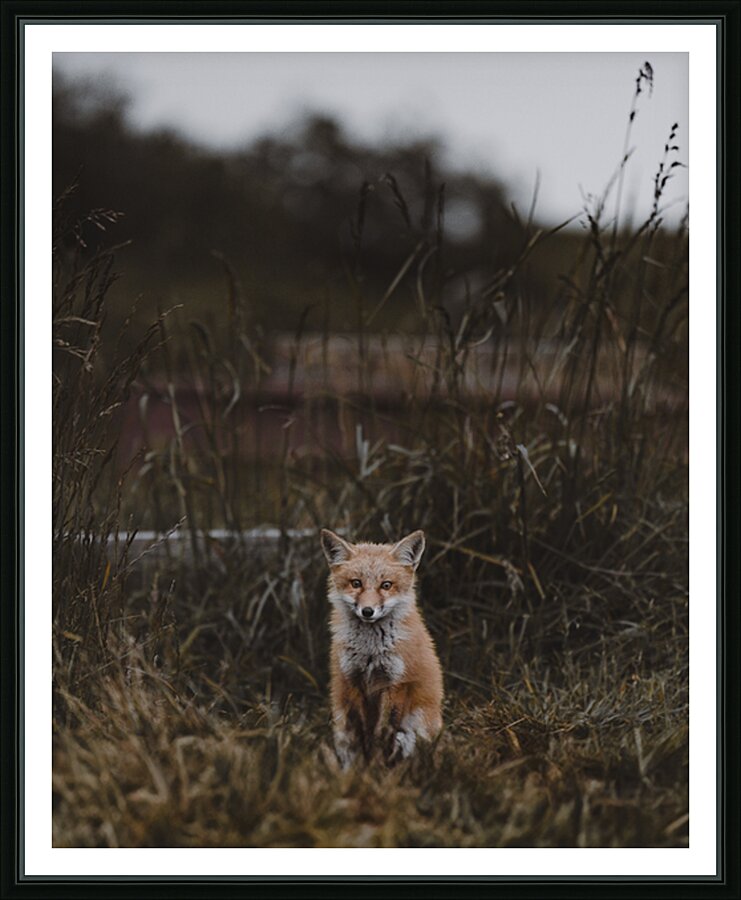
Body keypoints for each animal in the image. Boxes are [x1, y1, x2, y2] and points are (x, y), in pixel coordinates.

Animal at [321, 528, 443, 768]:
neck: (370, 652)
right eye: (356, 583)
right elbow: (361, 735)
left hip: (414, 732)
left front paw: (375, 768)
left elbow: (381, 735)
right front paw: (361, 769)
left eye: (386, 585)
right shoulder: (352, 680)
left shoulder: (395, 683)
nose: (368, 611)